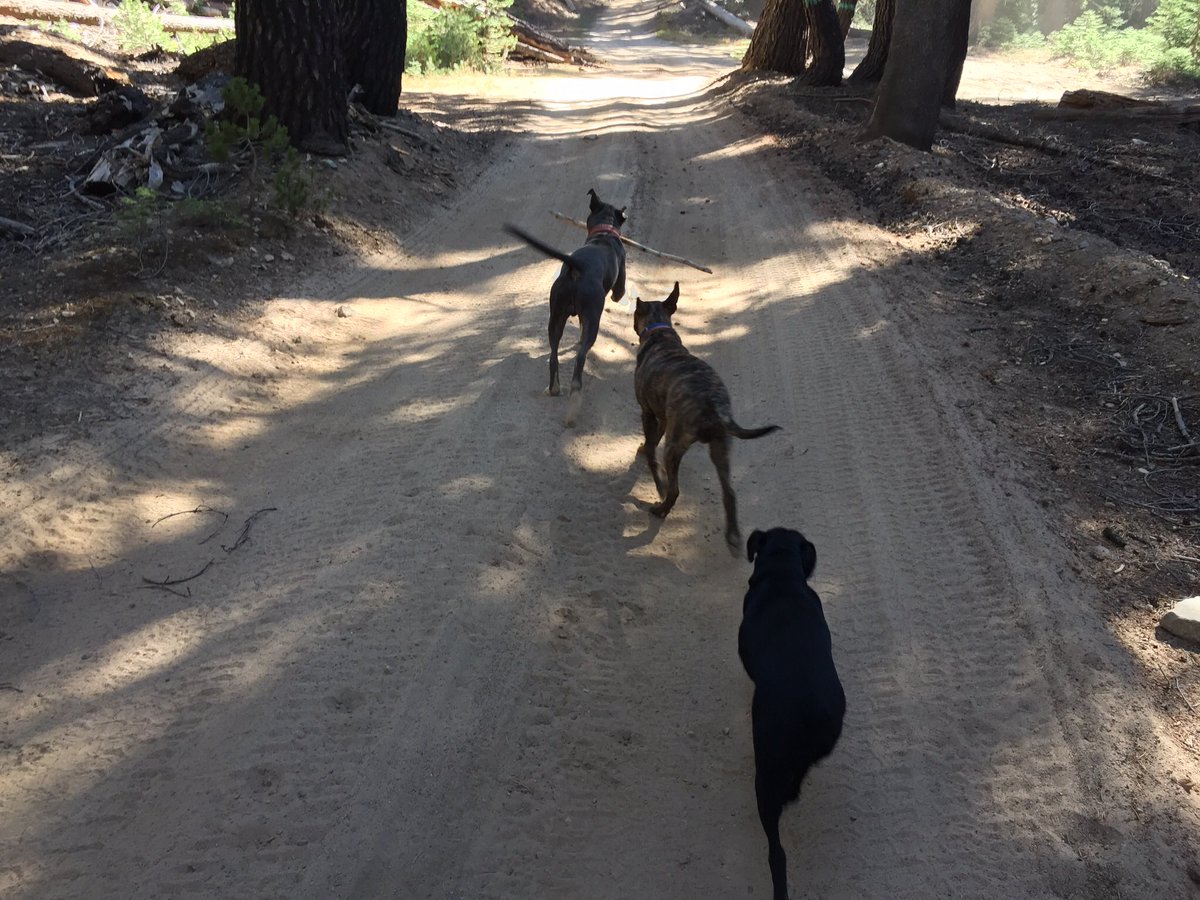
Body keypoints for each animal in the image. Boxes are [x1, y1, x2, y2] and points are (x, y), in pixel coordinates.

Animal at [501, 188, 628, 427]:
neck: (604, 231)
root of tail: (577, 267)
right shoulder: (618, 287)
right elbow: (619, 294)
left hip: (555, 318)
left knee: (553, 356)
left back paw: (554, 388)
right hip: (592, 319)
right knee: (579, 359)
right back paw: (574, 398)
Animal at [633, 283, 782, 556]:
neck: (660, 333)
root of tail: (715, 406)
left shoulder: (649, 413)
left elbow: (651, 449)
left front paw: (655, 478)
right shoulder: (663, 417)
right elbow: (651, 441)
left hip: (675, 446)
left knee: (675, 489)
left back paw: (660, 509)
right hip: (720, 448)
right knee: (730, 493)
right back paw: (733, 536)